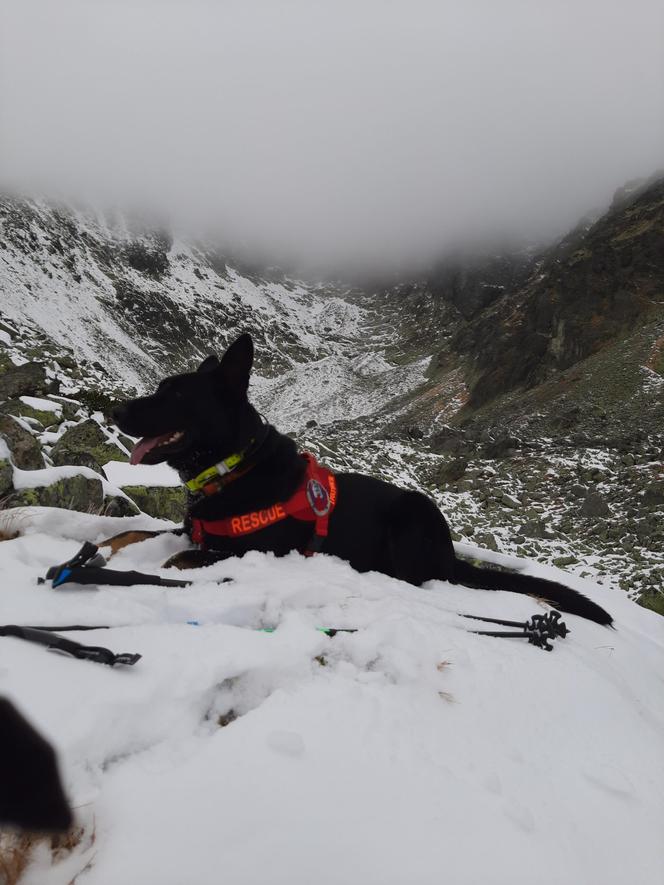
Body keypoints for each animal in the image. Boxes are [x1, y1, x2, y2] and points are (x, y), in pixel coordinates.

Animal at [113, 334, 612, 624]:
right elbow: (131, 533)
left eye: (176, 394)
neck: (233, 467)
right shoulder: (188, 529)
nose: (115, 411)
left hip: (413, 511)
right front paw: (106, 548)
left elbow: (174, 560)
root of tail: (450, 554)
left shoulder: (247, 551)